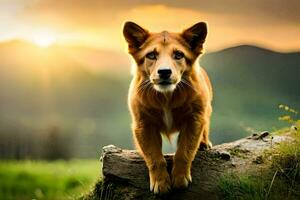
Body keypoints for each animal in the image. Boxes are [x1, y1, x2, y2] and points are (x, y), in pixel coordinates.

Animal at [122, 20, 213, 194]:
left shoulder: (194, 119)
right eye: (151, 55)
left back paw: (204, 144)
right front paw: (161, 183)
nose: (164, 72)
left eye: (178, 55)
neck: (166, 97)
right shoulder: (143, 124)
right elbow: (154, 157)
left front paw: (180, 180)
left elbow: (184, 151)